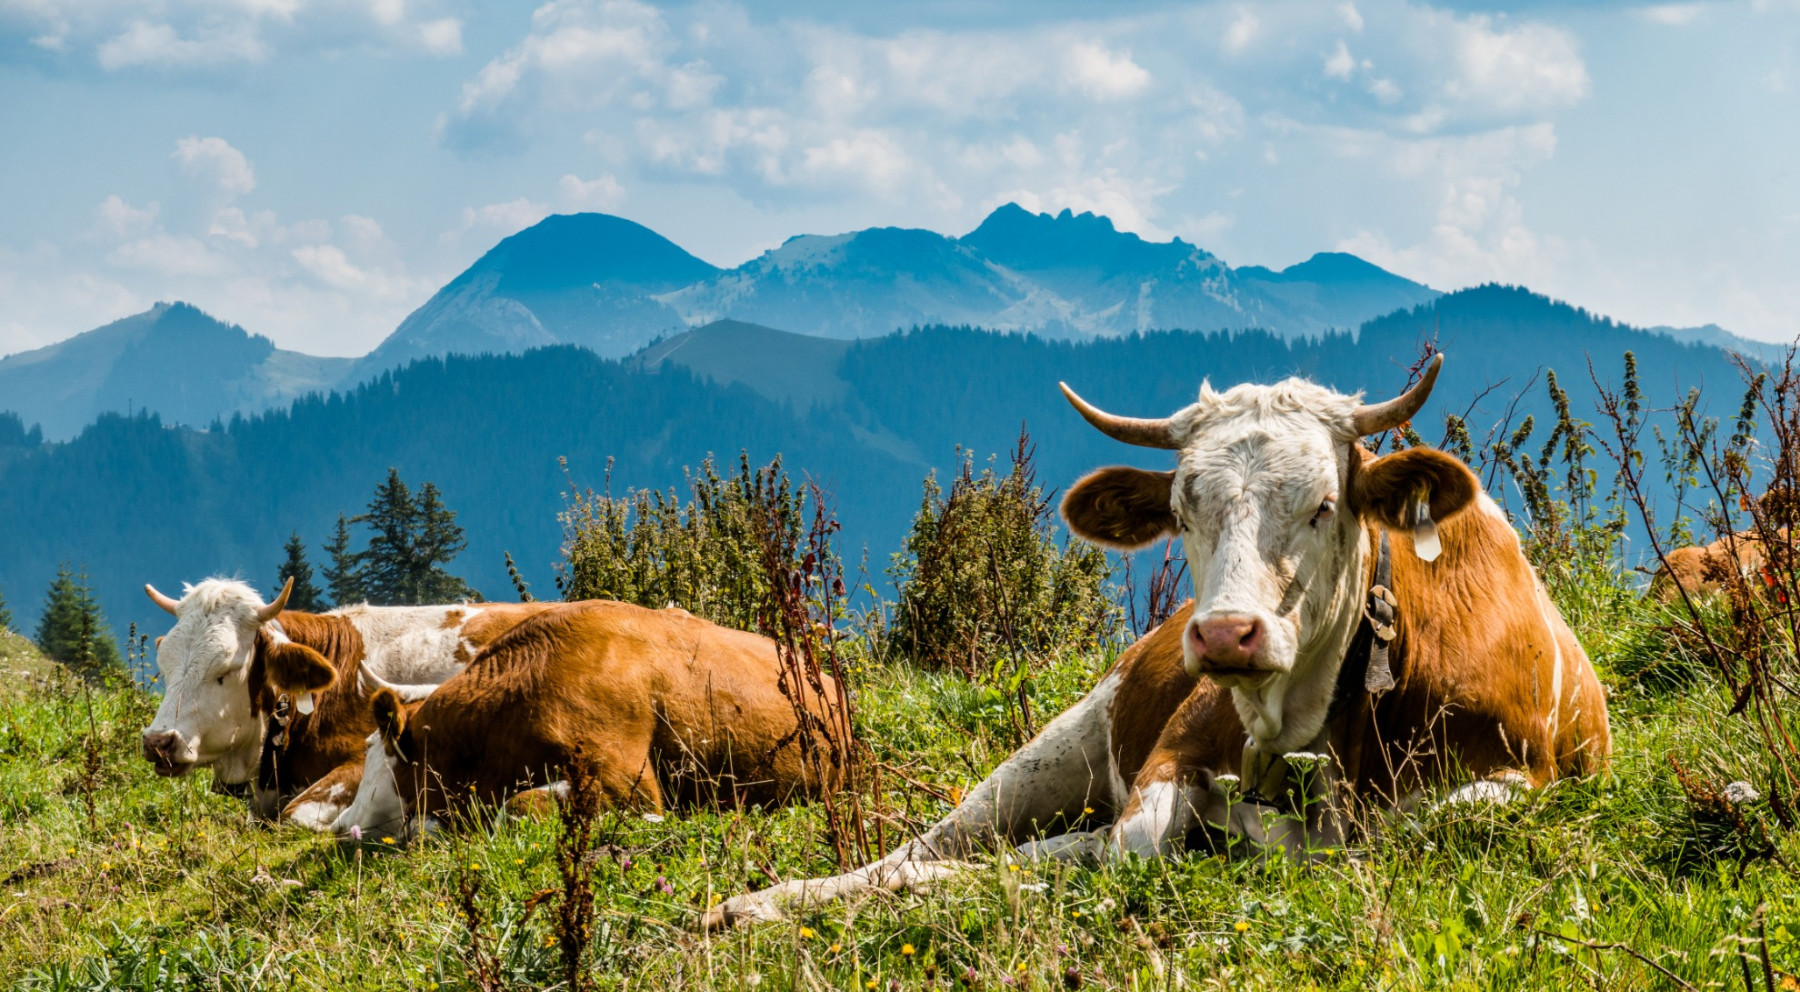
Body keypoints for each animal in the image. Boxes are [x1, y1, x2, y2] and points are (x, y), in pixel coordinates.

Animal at [694, 358, 1612, 928]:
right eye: (1181, 508)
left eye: (1324, 504)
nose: (1225, 633)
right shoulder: (1171, 756)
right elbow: (1130, 848)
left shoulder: (1517, 778)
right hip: (1054, 748)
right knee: (933, 849)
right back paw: (754, 904)